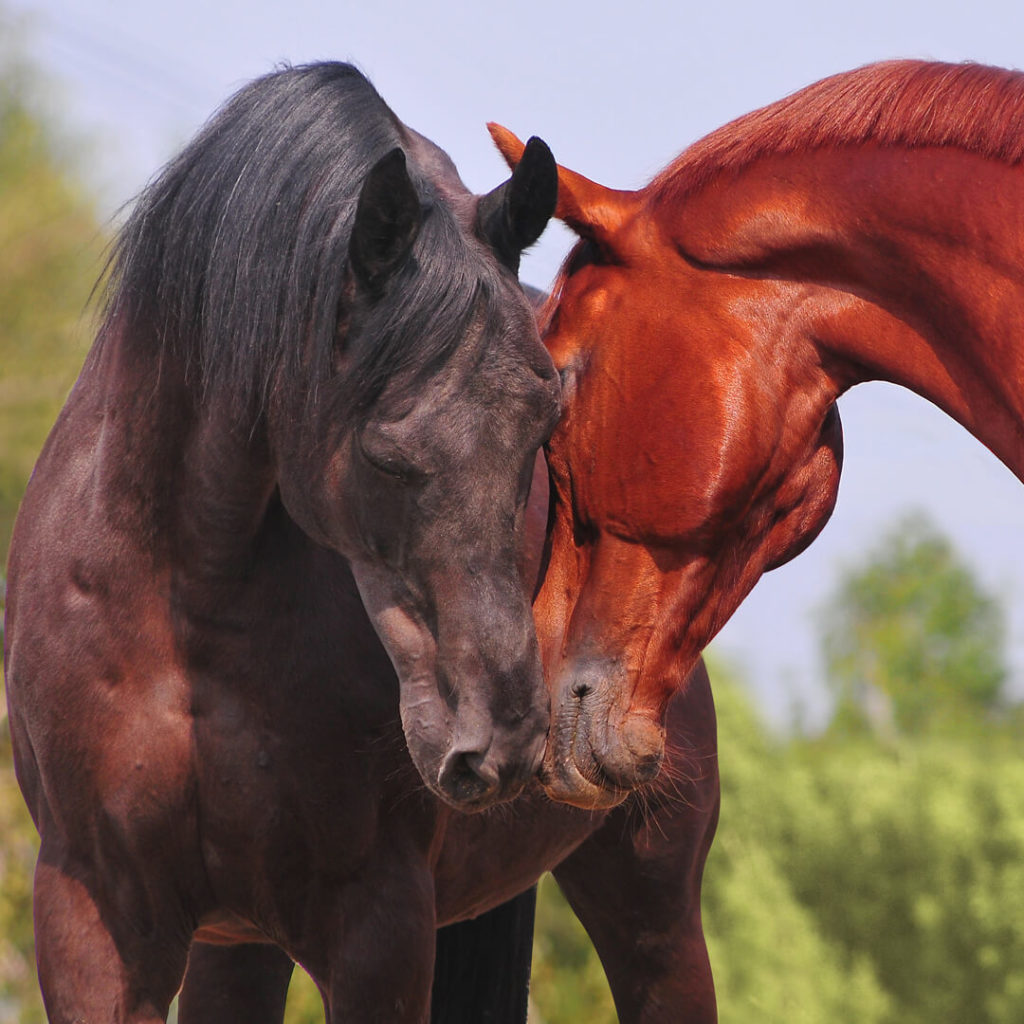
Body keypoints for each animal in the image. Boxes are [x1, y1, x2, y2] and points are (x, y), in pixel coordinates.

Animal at [2, 61, 569, 1015]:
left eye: (544, 428)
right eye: (384, 452)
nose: (503, 738)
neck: (191, 594)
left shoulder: (379, 926)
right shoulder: (94, 917)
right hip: (239, 942)